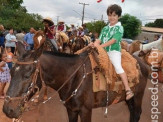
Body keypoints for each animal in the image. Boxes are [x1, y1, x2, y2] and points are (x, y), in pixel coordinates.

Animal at [3, 41, 149, 122]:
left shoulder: (86, 111)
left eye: (27, 75)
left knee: (136, 114)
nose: (7, 110)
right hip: (129, 99)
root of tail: (142, 63)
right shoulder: (71, 109)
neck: (74, 77)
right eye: (11, 72)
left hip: (137, 96)